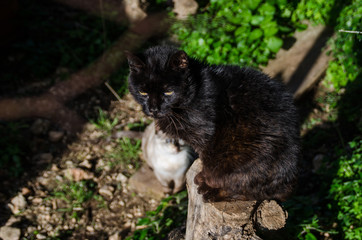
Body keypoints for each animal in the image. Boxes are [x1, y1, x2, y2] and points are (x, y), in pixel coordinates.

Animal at [126, 45, 300, 202]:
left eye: (168, 91)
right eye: (143, 92)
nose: (153, 109)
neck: (196, 92)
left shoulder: (205, 137)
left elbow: (206, 160)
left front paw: (203, 177)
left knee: (251, 190)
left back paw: (211, 191)